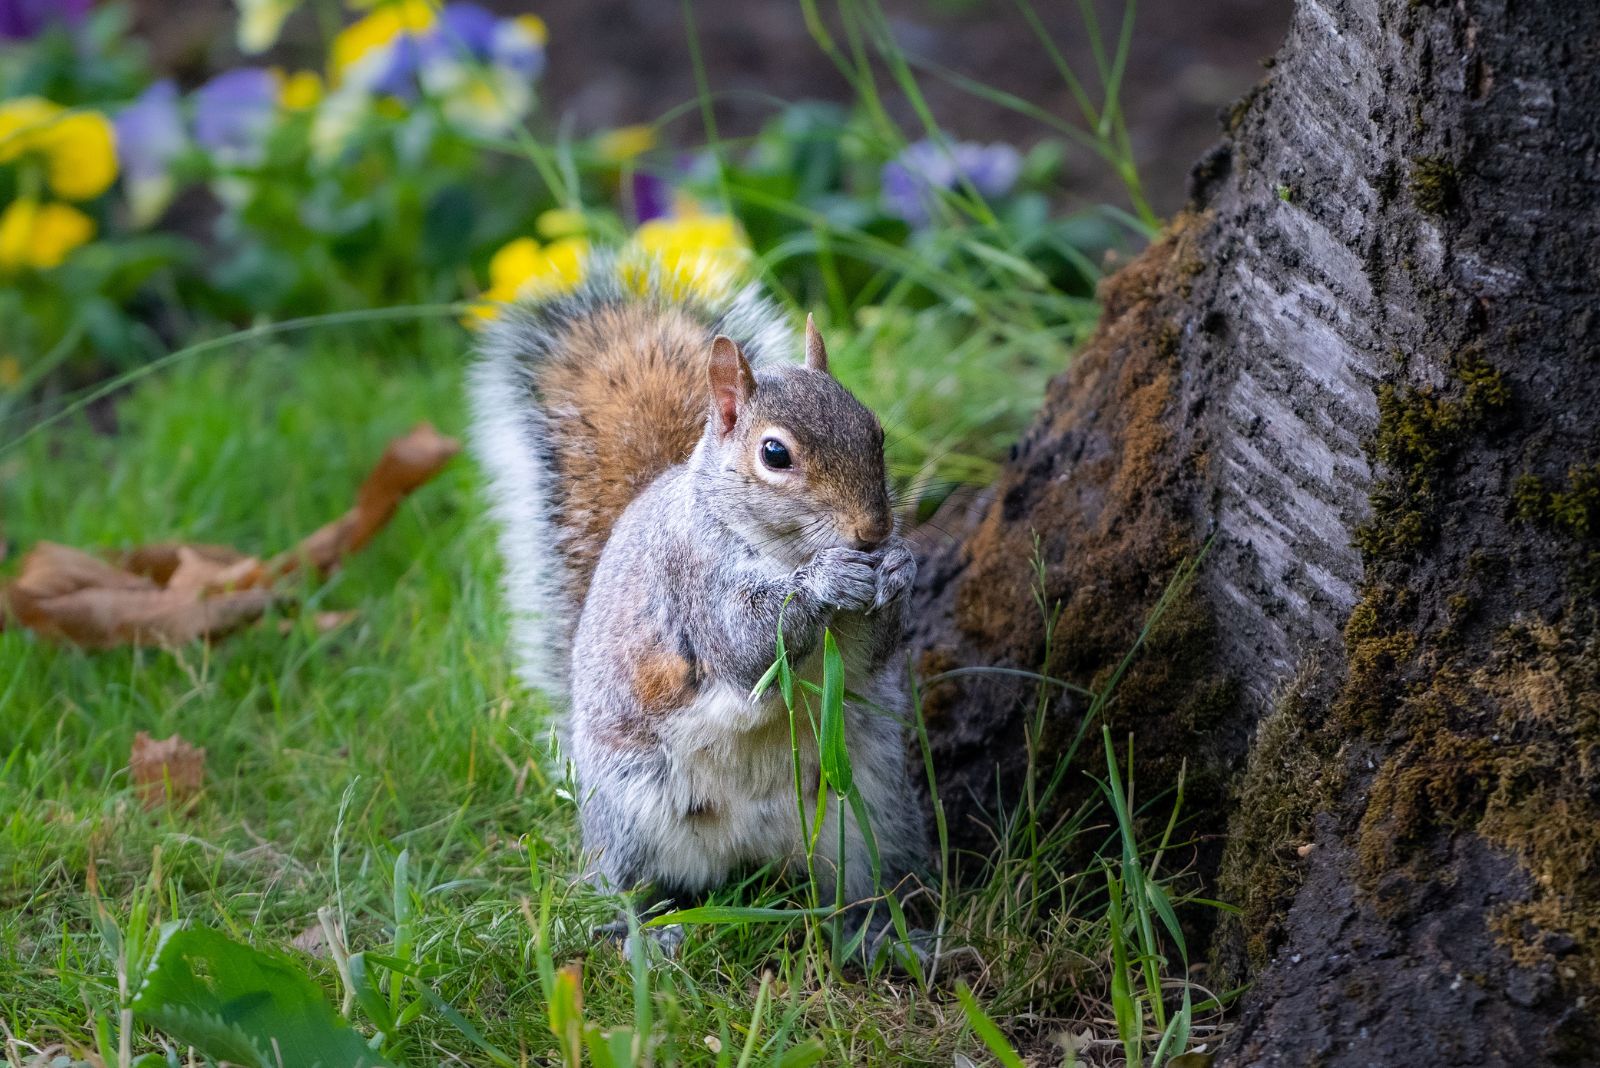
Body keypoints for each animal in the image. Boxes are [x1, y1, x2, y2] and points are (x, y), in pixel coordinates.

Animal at [469, 260, 926, 919]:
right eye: (774, 453)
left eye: (878, 434)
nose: (873, 531)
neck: (781, 549)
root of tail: (755, 849)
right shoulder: (692, 579)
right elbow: (747, 646)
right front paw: (827, 580)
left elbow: (872, 653)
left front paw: (897, 569)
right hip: (634, 812)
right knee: (621, 884)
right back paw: (642, 928)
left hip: (867, 810)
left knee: (858, 883)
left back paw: (880, 928)